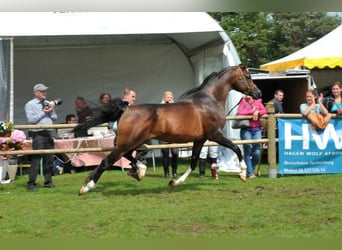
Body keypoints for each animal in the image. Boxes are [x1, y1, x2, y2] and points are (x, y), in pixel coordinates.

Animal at [75, 63, 262, 194]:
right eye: (248, 76)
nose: (258, 94)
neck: (209, 100)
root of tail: (127, 108)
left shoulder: (200, 139)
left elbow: (193, 162)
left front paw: (174, 182)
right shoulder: (214, 134)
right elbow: (236, 148)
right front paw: (243, 174)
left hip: (131, 141)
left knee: (128, 156)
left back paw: (139, 171)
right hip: (127, 142)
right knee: (107, 161)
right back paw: (87, 187)